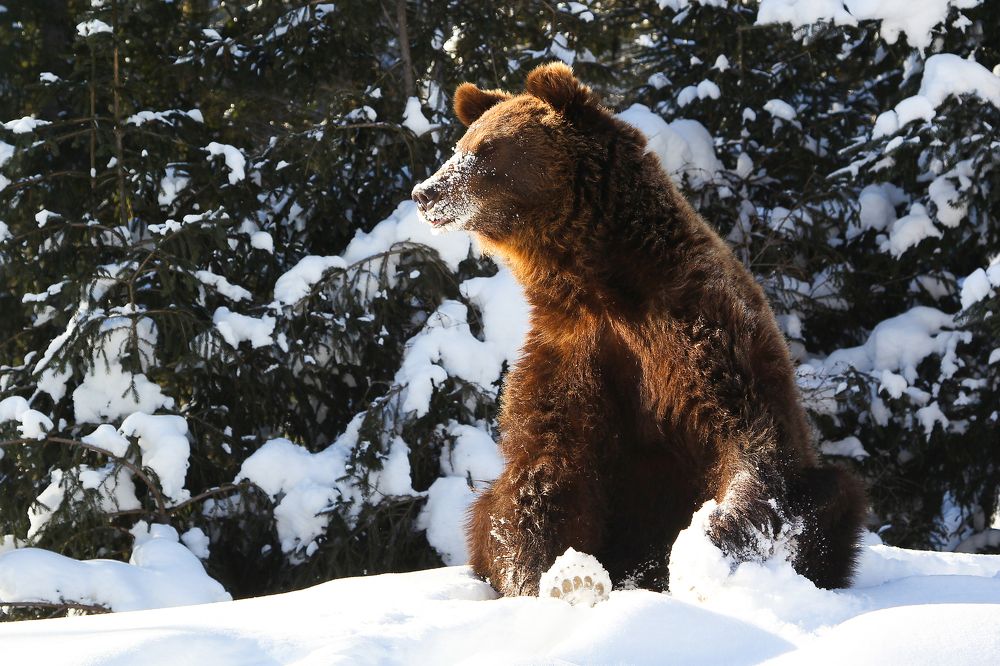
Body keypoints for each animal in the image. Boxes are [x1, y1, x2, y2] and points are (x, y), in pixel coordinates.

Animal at [411, 62, 867, 599]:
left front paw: (705, 549)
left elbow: (746, 442)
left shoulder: (698, 331)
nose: (425, 192)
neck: (599, 281)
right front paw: (546, 575)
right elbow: (544, 466)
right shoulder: (574, 348)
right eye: (460, 145)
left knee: (832, 495)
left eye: (486, 148)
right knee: (484, 507)